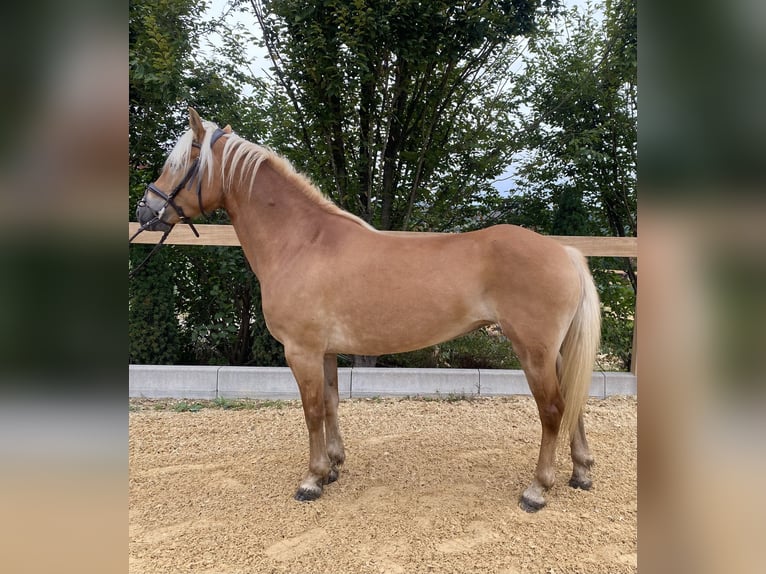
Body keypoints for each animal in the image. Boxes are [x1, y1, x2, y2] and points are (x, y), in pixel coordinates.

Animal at [132, 108, 604, 512]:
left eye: (177, 163)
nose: (146, 211)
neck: (302, 241)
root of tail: (564, 252)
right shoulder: (324, 351)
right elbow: (332, 403)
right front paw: (333, 467)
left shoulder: (300, 351)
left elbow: (311, 410)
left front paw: (311, 479)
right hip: (556, 351)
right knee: (574, 406)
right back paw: (580, 473)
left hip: (533, 352)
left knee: (553, 411)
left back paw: (537, 489)